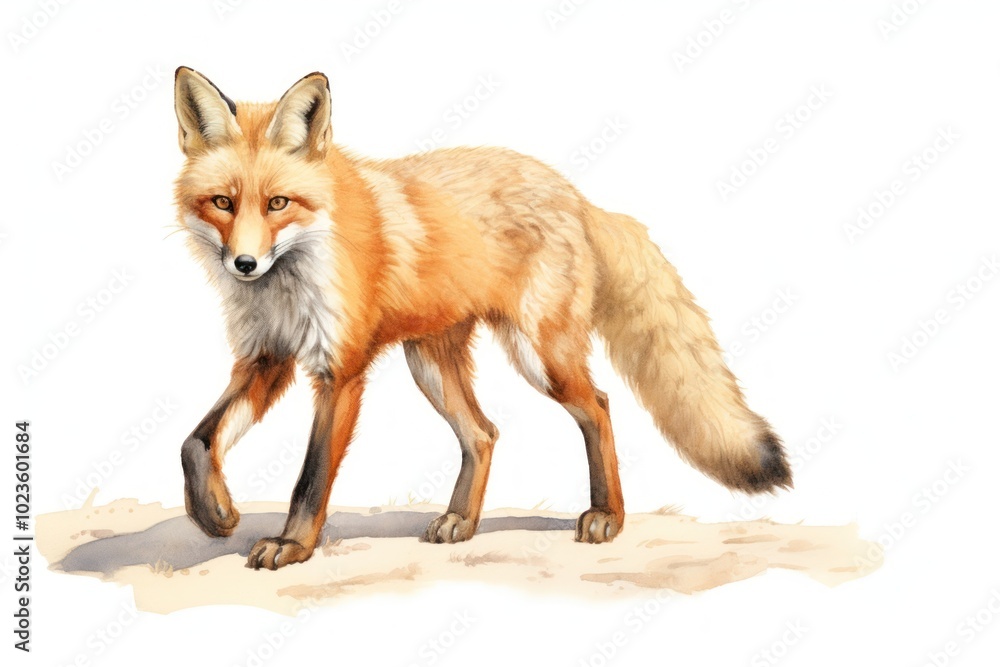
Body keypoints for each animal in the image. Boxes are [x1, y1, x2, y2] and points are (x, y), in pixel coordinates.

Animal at [173, 66, 791, 571]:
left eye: (278, 203)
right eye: (223, 203)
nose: (244, 264)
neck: (288, 282)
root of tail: (575, 194)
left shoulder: (340, 370)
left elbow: (311, 477)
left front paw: (293, 545)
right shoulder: (267, 357)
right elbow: (197, 443)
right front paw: (215, 514)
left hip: (540, 357)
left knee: (598, 406)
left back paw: (607, 515)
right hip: (430, 364)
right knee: (484, 433)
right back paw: (463, 521)